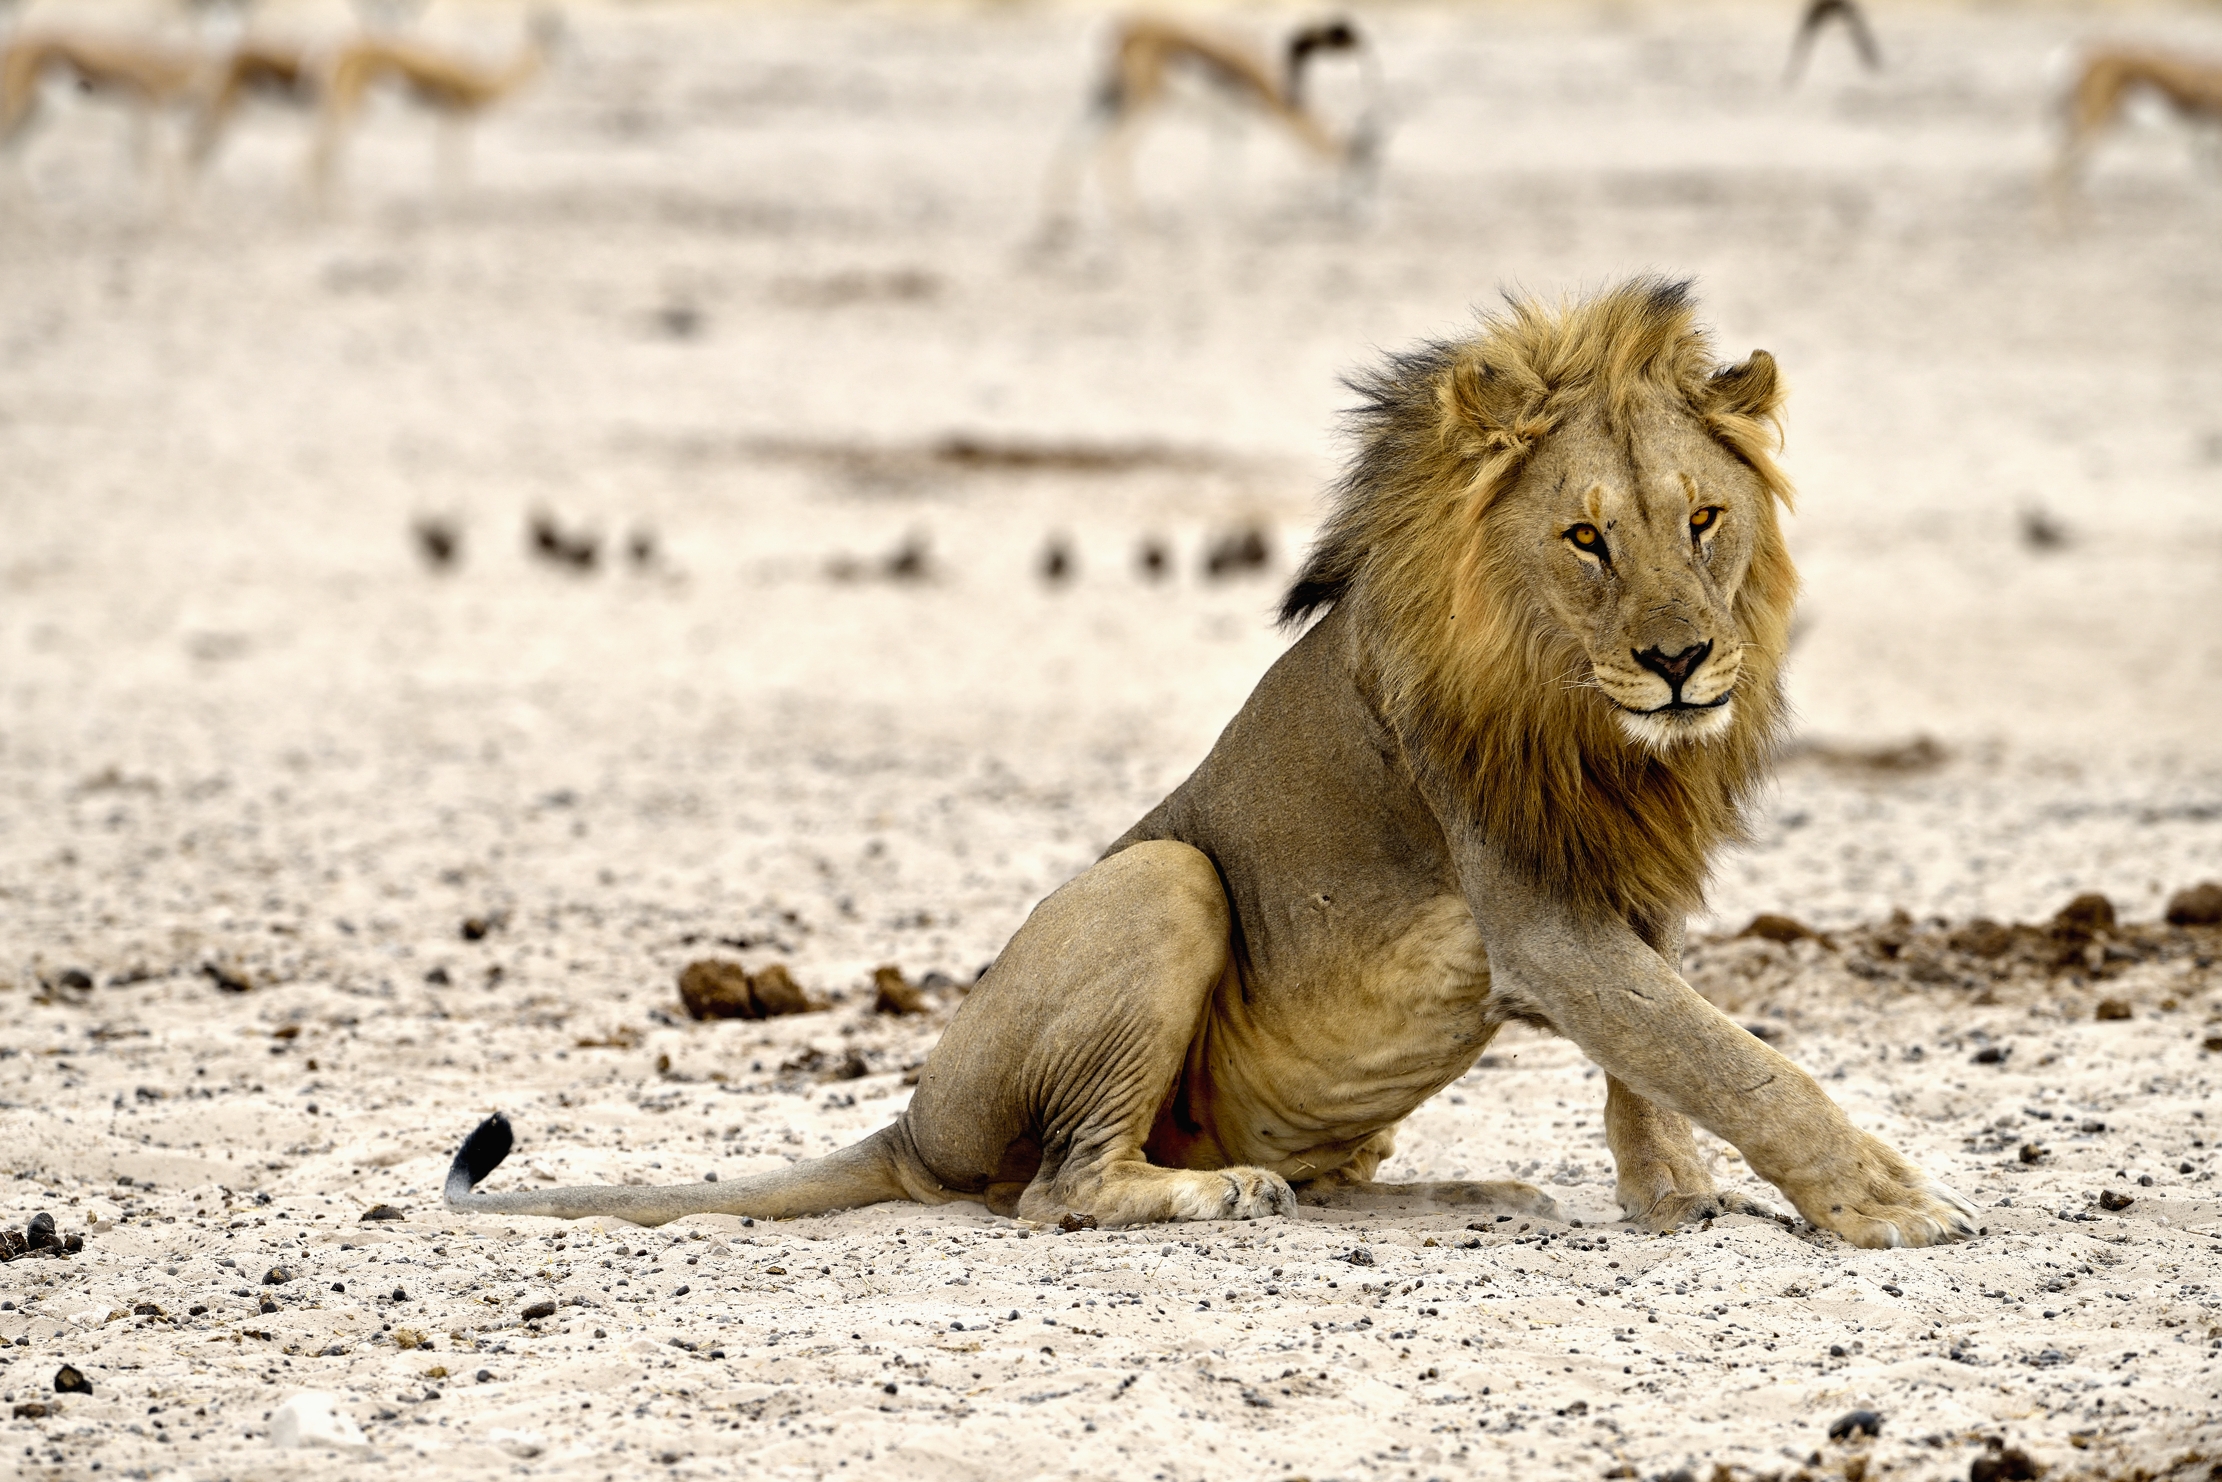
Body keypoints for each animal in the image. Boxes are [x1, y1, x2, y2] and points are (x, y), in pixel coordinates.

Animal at [445, 278, 1977, 1249]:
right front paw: (1888, 1204)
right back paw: (1223, 1194)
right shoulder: (1538, 913)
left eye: (1703, 518)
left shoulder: (1620, 889)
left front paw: (1672, 1201)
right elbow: (1734, 1061)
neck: (1589, 717)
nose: (1679, 661)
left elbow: (1653, 1069)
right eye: (1586, 538)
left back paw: (1457, 1193)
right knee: (1055, 1191)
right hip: (1161, 884)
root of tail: (911, 1126)